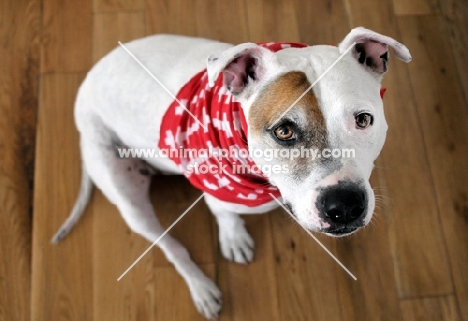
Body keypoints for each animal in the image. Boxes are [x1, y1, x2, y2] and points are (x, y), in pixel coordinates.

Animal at [51, 27, 410, 318]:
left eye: (363, 120)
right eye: (283, 131)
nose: (345, 206)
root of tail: (86, 85)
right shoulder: (214, 189)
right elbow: (225, 213)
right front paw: (234, 236)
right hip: (125, 195)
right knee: (170, 247)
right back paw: (201, 288)